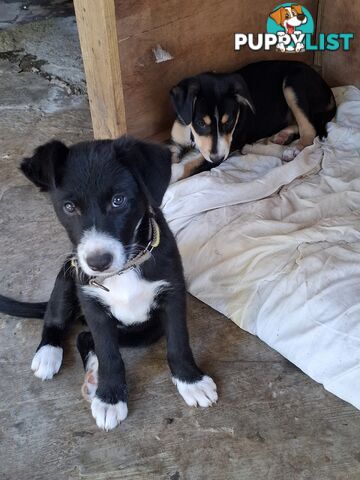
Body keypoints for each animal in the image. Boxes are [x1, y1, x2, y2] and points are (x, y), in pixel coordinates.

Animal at [0, 136, 218, 432]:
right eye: (69, 207)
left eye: (118, 200)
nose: (98, 262)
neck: (125, 269)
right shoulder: (92, 305)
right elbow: (109, 353)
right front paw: (111, 398)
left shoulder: (172, 293)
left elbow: (178, 341)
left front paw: (191, 381)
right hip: (66, 277)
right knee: (57, 320)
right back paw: (49, 353)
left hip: (145, 331)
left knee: (83, 337)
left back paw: (93, 375)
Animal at [170, 58, 336, 182]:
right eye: (201, 123)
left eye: (229, 122)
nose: (217, 157)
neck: (191, 133)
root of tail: (326, 86)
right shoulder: (176, 141)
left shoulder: (224, 149)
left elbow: (187, 166)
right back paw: (281, 136)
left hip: (293, 84)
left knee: (309, 129)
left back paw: (293, 149)